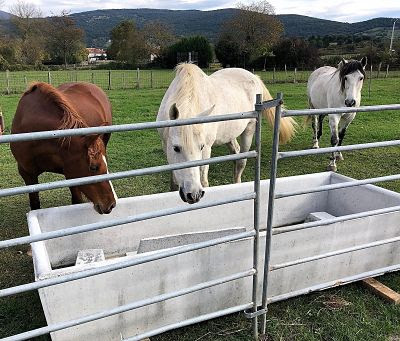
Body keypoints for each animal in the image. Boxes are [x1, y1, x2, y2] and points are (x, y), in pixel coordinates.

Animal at [10, 81, 116, 212]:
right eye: (93, 167)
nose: (111, 205)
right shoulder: (28, 174)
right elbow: (35, 205)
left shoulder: (70, 172)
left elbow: (77, 201)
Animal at [158, 62, 296, 203]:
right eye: (176, 148)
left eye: (201, 147)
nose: (194, 195)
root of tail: (255, 77)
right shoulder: (166, 147)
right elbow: (174, 183)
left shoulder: (207, 149)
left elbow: (203, 180)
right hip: (229, 135)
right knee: (236, 152)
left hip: (249, 129)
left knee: (241, 161)